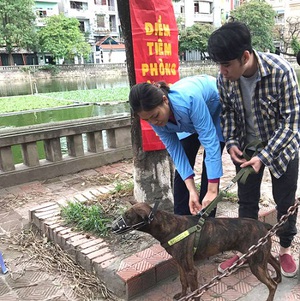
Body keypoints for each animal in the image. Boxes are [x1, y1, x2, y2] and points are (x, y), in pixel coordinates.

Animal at [112, 202, 282, 300]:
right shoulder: (180, 264)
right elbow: (182, 281)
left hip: (256, 263)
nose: (112, 227)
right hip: (261, 254)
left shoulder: (191, 270)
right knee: (276, 263)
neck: (169, 226)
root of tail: (263, 225)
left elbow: (195, 293)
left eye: (128, 216)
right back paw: (279, 278)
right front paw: (182, 295)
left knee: (271, 285)